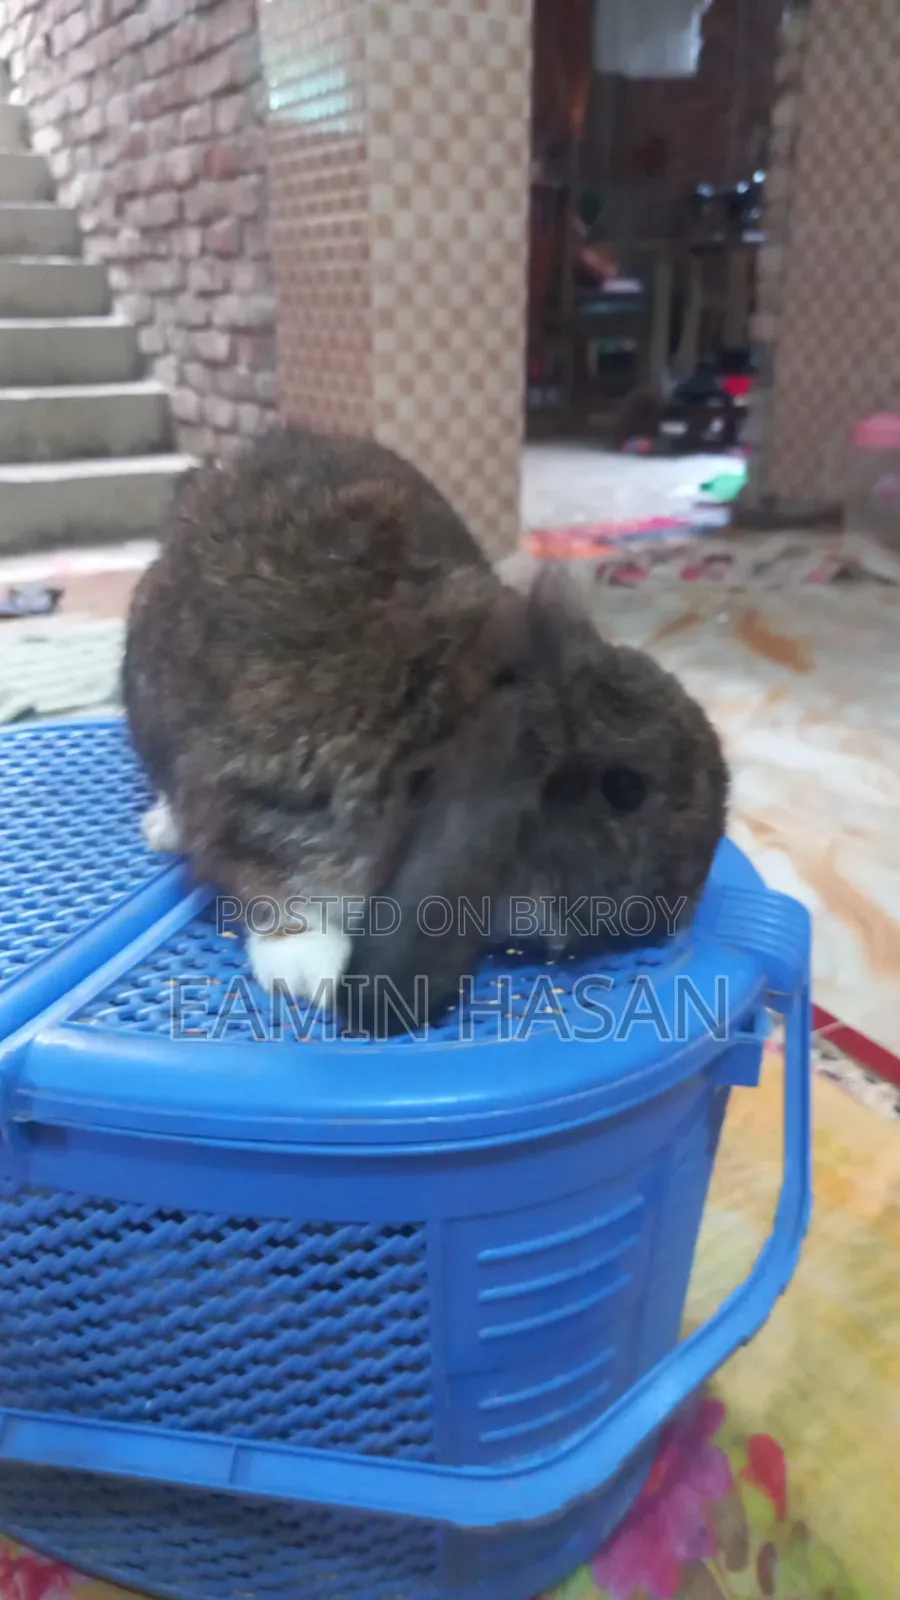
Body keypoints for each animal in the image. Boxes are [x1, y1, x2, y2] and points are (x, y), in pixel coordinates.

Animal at [124, 426, 728, 1037]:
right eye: (626, 787)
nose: (691, 898)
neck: (440, 720)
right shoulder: (251, 805)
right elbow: (267, 888)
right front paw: (312, 971)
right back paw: (162, 828)